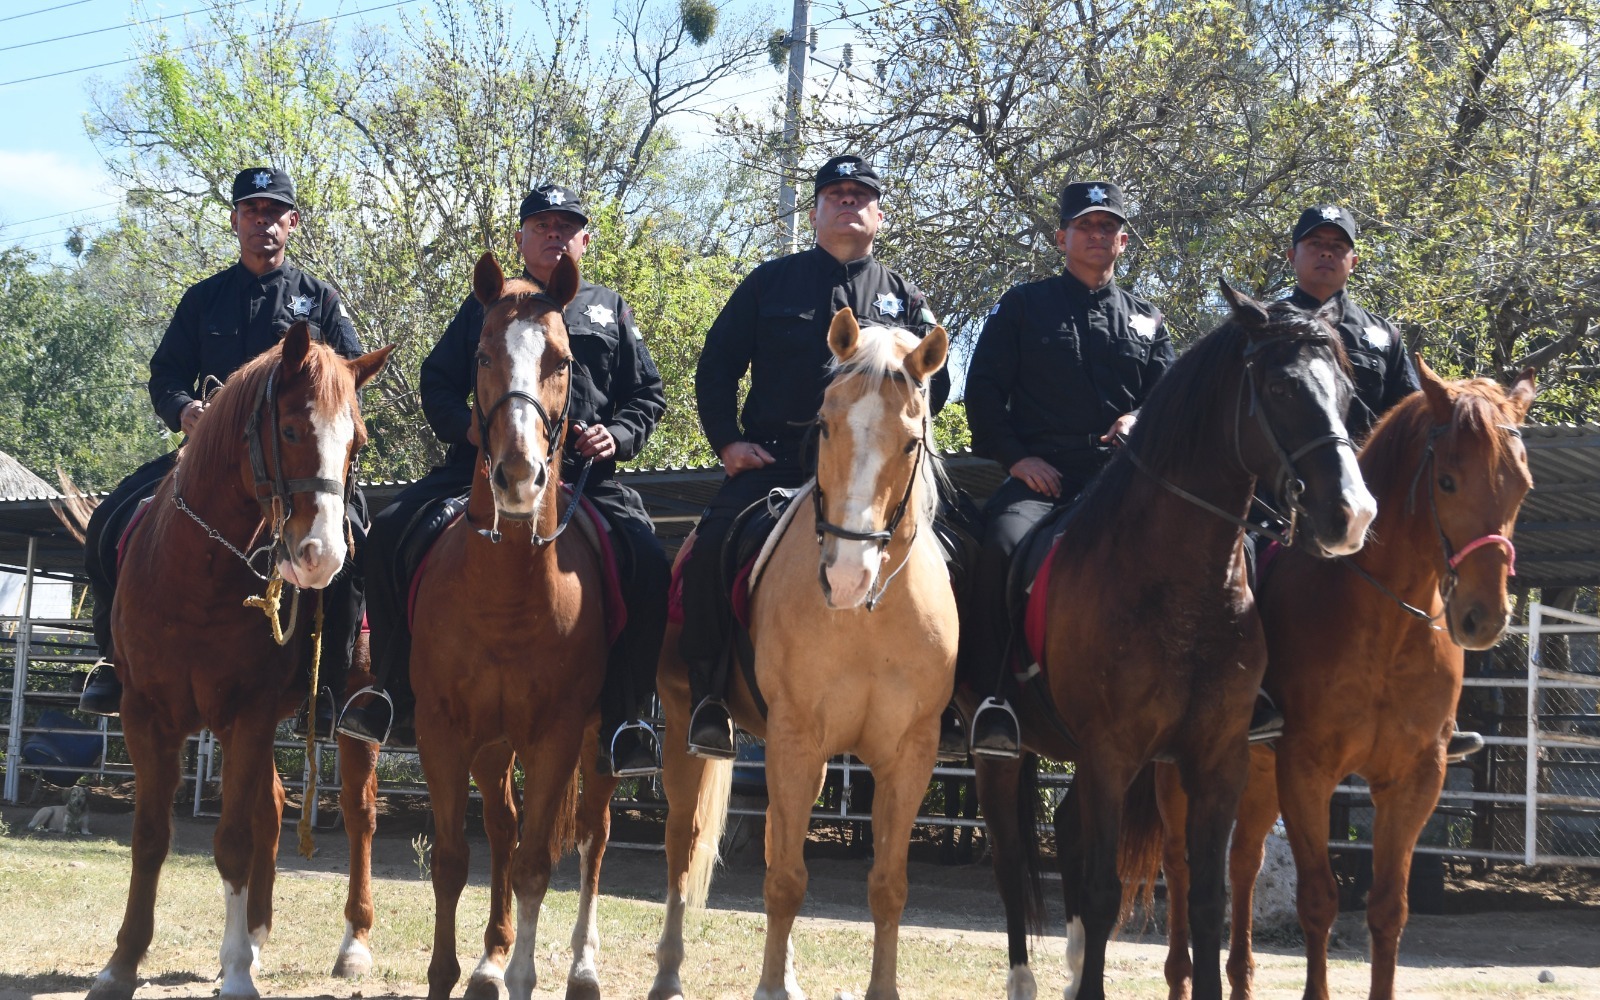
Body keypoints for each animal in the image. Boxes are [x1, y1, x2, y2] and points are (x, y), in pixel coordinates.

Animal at [87, 321, 390, 998]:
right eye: (291, 430)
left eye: (356, 441)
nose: (322, 555)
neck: (197, 577)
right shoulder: (146, 716)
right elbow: (150, 837)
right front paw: (121, 963)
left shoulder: (247, 716)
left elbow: (231, 843)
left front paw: (234, 975)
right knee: (272, 810)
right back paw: (255, 933)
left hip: (349, 720)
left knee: (358, 815)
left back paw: (353, 943)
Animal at [406, 251, 617, 998]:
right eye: (482, 354)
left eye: (562, 360)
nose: (520, 475)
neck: (505, 600)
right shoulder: (442, 731)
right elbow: (450, 859)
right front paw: (450, 972)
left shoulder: (557, 736)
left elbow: (535, 864)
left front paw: (527, 973)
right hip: (493, 747)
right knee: (500, 826)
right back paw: (490, 959)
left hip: (597, 742)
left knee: (591, 835)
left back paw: (580, 966)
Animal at [646, 308, 953, 992]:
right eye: (825, 424)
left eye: (910, 442)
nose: (846, 575)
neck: (867, 619)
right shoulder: (795, 738)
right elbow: (785, 880)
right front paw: (766, 988)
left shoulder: (908, 756)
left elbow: (888, 886)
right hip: (685, 727)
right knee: (682, 845)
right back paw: (669, 974)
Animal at [972, 281, 1376, 998]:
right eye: (1279, 387)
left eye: (1347, 390)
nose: (1350, 515)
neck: (1179, 583)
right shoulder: (1111, 753)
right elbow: (1104, 892)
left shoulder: (1215, 758)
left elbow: (1210, 898)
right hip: (1005, 755)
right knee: (1011, 858)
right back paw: (1025, 979)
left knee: (1066, 832)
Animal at [1158, 358, 1542, 998]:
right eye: (1447, 482)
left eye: (1522, 485)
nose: (1482, 618)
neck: (1386, 625)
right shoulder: (1307, 771)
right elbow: (1318, 899)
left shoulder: (1415, 779)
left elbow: (1388, 909)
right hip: (1185, 770)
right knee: (1180, 864)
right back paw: (1183, 976)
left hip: (1254, 772)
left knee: (1244, 861)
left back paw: (1240, 976)